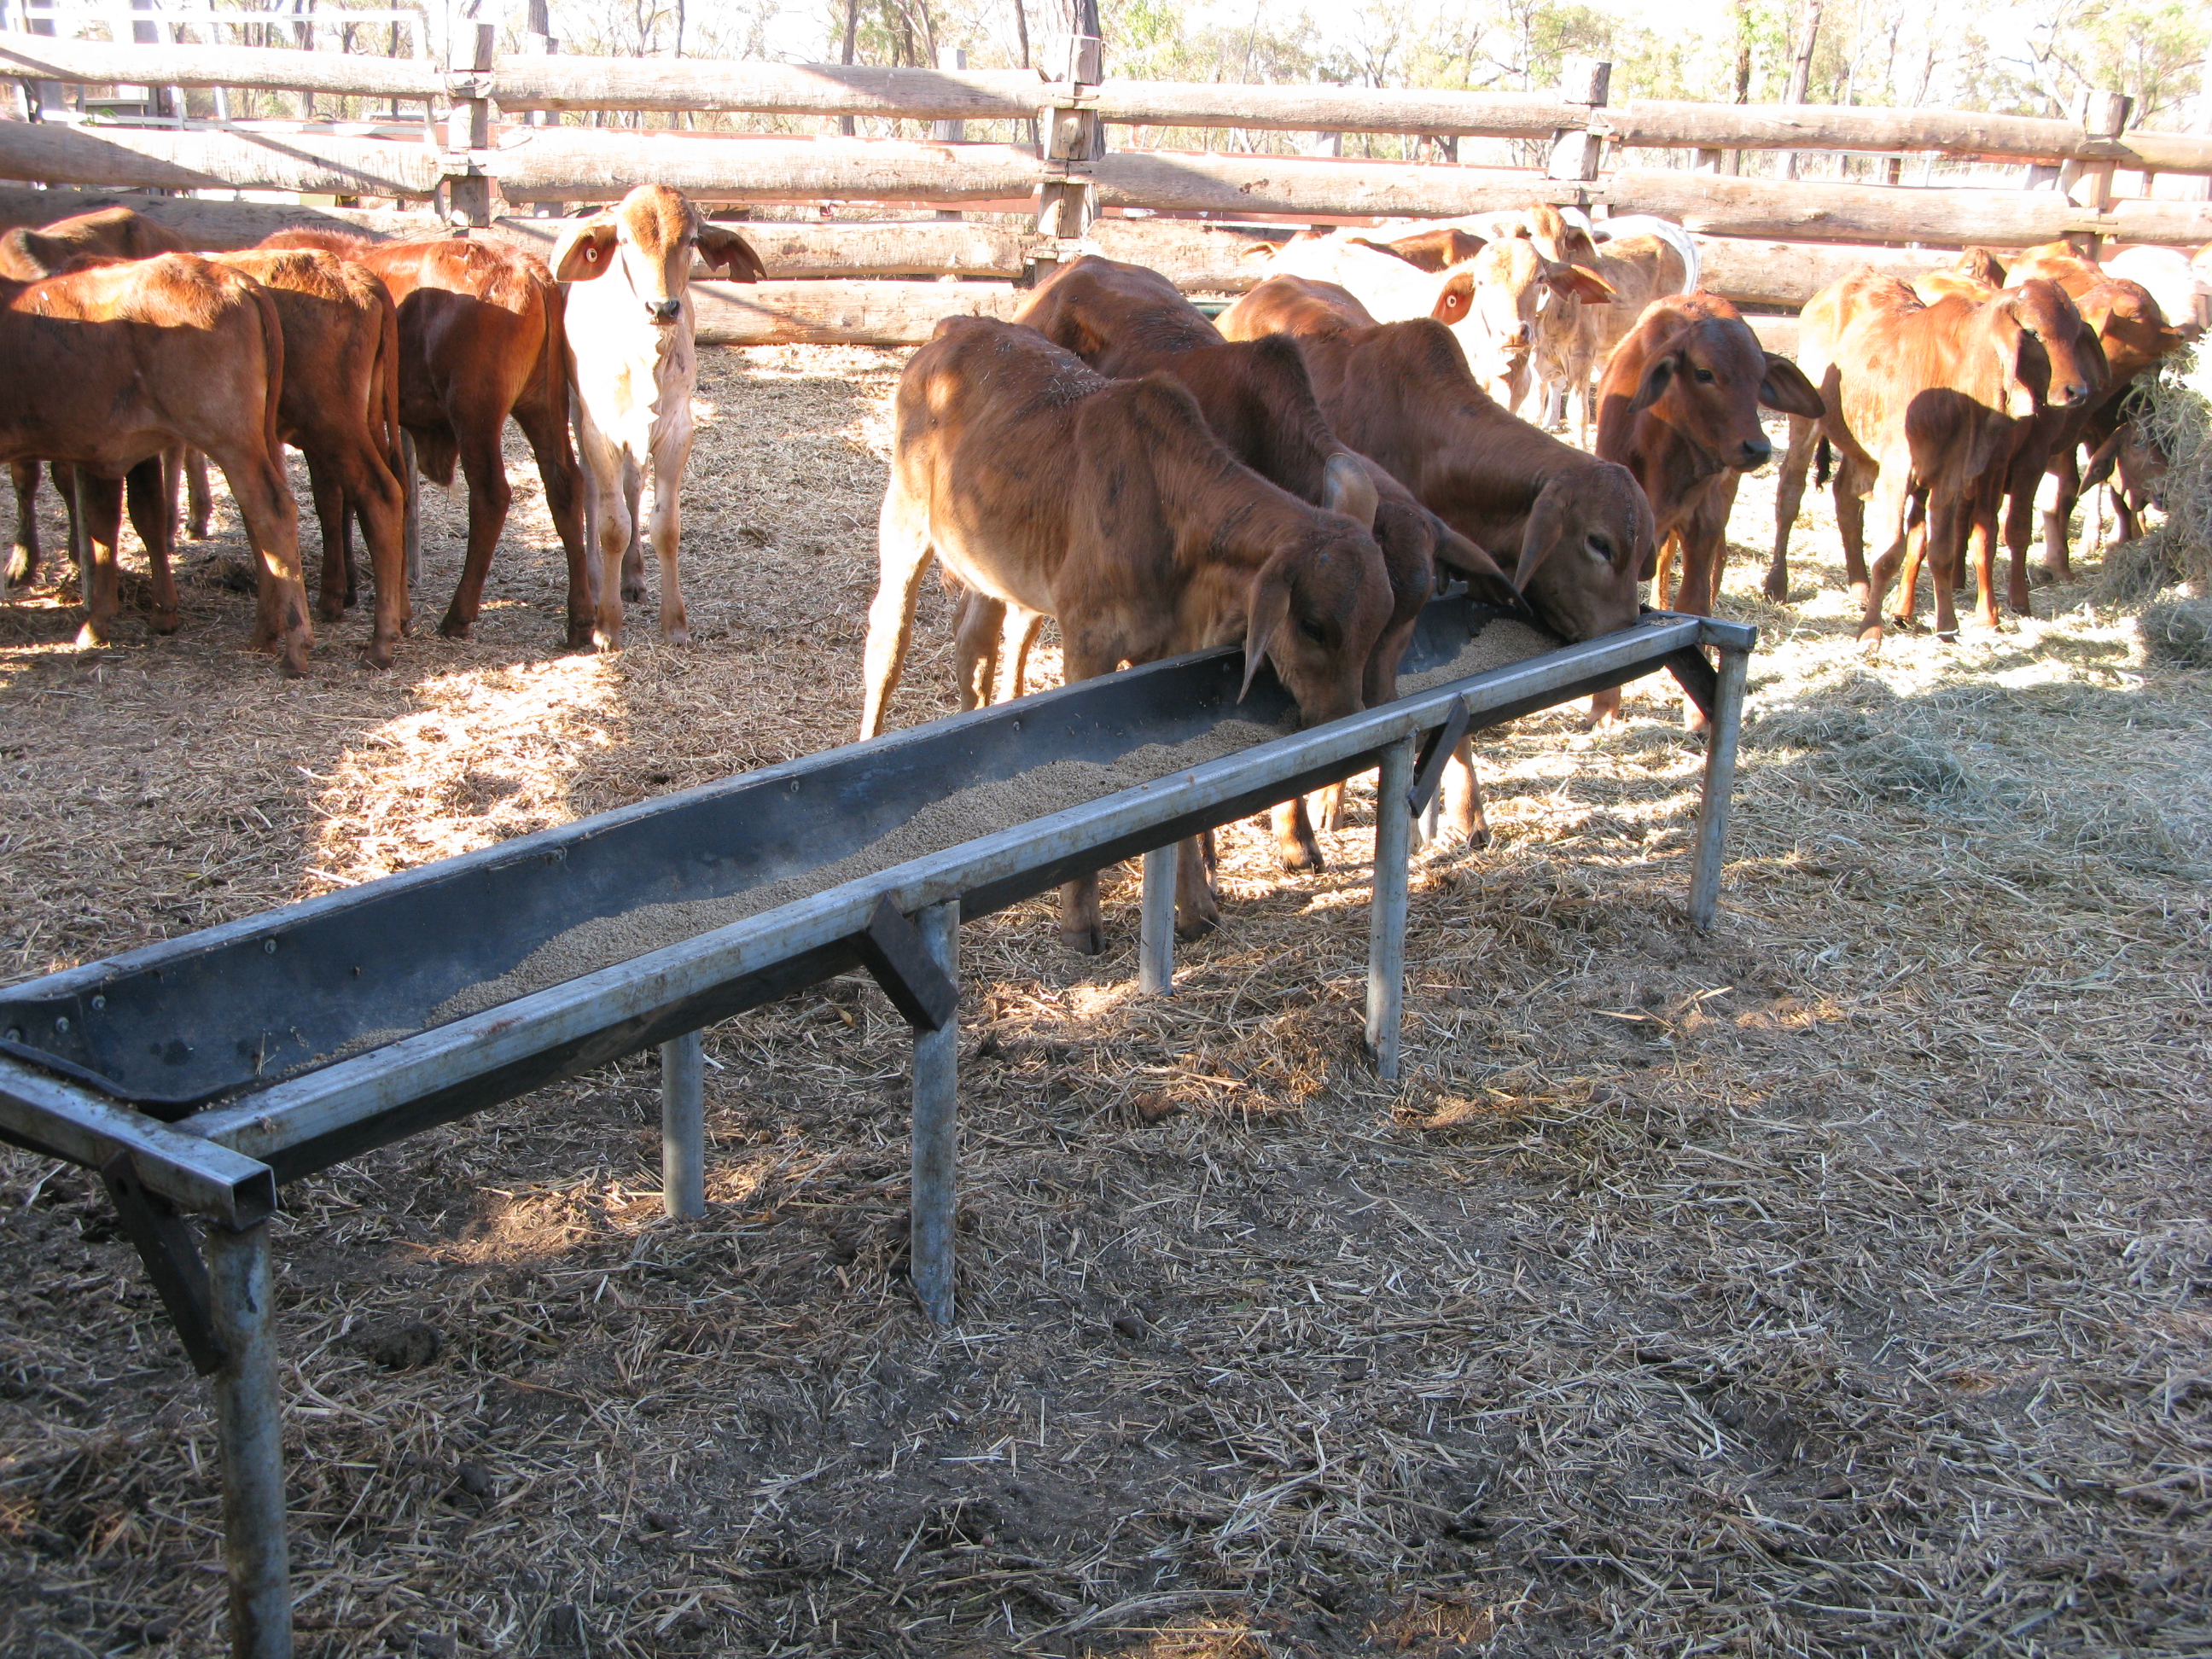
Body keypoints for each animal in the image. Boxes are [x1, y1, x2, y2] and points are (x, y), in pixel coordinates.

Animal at [0, 256, 311, 672]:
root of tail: (231, 278)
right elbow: (105, 528)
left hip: (229, 440)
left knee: (272, 514)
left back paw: (294, 648)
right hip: (258, 440)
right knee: (257, 522)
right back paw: (264, 635)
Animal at [858, 318, 1388, 955]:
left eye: (1381, 622)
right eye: (1313, 625)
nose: (1350, 721)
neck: (1170, 514)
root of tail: (957, 326)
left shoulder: (1168, 651)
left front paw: (1196, 908)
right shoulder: (1089, 641)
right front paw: (1080, 920)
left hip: (992, 561)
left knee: (978, 648)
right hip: (904, 522)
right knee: (889, 642)